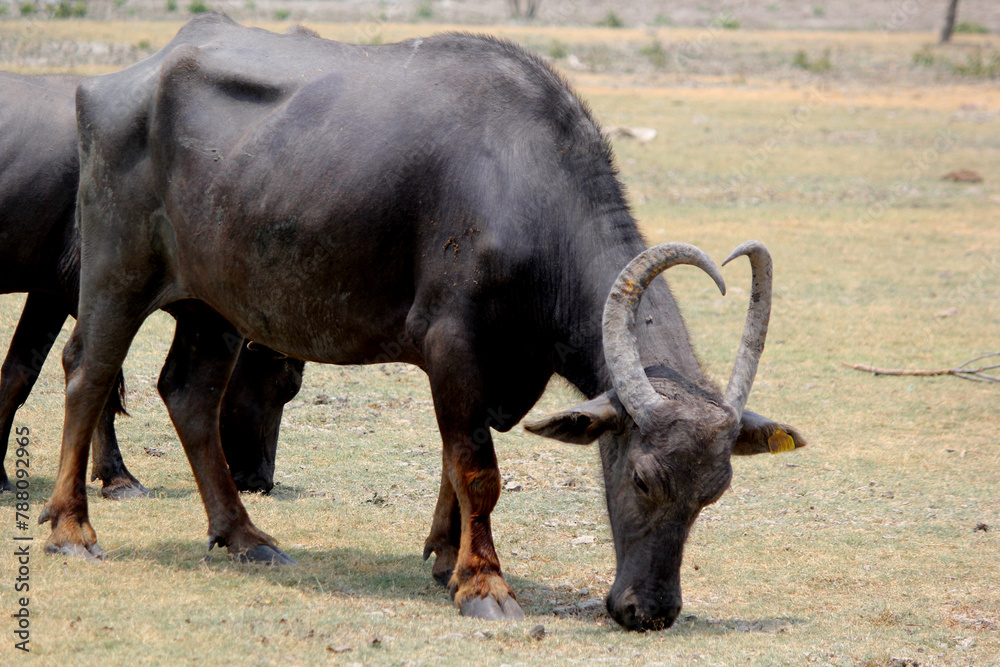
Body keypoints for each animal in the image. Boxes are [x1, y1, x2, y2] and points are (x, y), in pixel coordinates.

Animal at [0, 71, 304, 496]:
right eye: (287, 384)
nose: (262, 480)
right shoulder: (95, 292)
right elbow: (102, 379)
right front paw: (117, 477)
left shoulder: (50, 293)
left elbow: (18, 373)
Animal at [41, 15, 805, 630]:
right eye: (644, 478)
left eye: (714, 492)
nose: (650, 610)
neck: (521, 185)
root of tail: (109, 86)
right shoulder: (453, 344)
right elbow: (476, 468)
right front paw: (484, 583)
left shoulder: (488, 369)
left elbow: (451, 460)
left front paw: (446, 556)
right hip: (116, 274)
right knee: (88, 374)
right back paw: (72, 528)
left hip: (215, 307)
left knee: (191, 395)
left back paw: (244, 535)